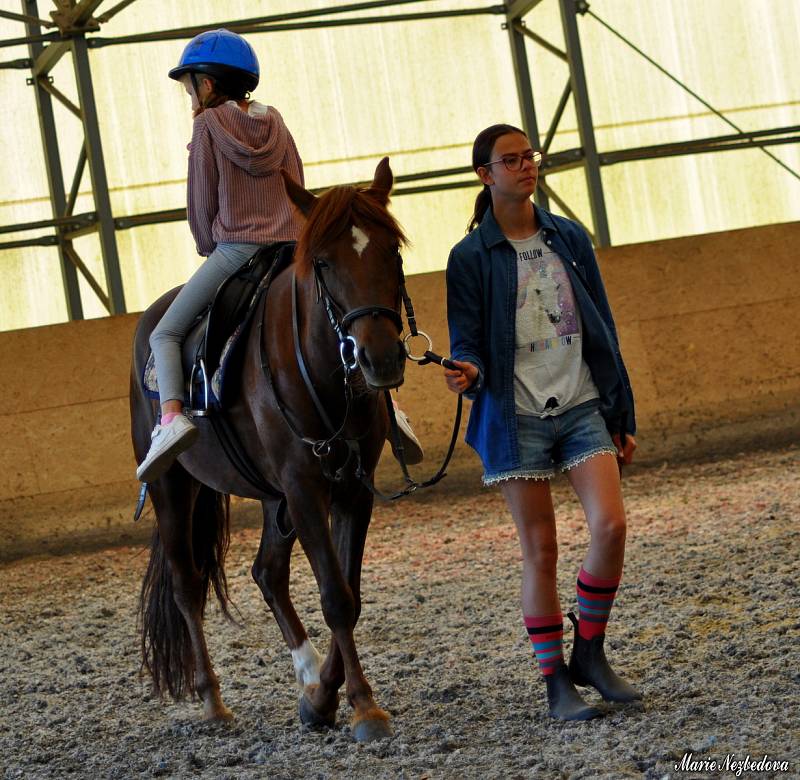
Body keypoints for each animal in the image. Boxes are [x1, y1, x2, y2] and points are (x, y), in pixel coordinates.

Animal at [130, 160, 410, 744]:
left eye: (392, 251)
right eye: (323, 262)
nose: (379, 358)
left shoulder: (351, 487)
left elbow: (348, 594)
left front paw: (327, 700)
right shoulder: (304, 487)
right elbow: (335, 595)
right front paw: (361, 707)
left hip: (272, 498)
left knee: (266, 572)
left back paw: (307, 675)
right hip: (174, 486)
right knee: (187, 584)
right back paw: (212, 701)